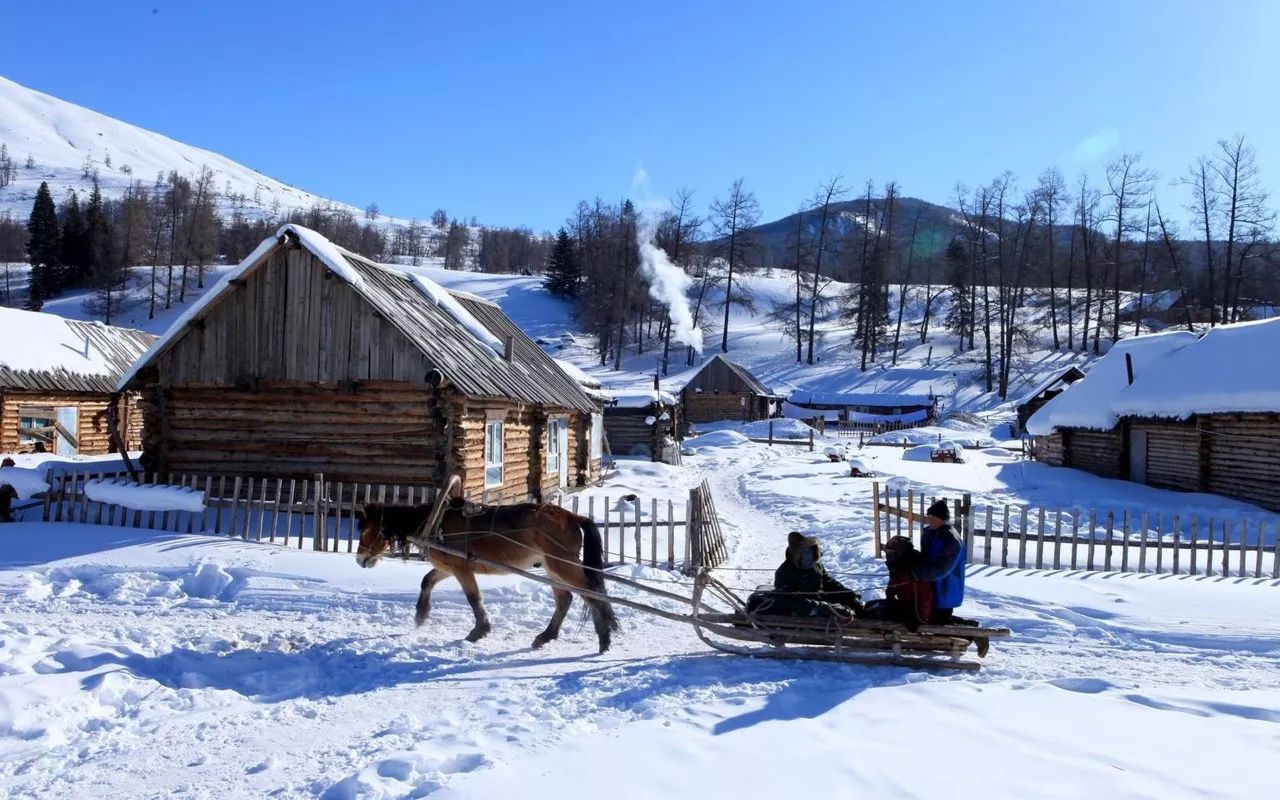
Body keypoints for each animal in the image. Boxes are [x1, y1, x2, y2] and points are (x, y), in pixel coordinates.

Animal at [358, 499, 622, 655]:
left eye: (366, 529)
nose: (360, 559)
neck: (436, 523)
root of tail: (573, 517)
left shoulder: (461, 568)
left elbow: (473, 597)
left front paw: (479, 631)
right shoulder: (448, 566)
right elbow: (427, 581)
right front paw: (420, 616)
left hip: (562, 565)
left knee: (592, 593)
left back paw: (604, 638)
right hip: (552, 568)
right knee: (566, 598)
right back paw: (546, 636)